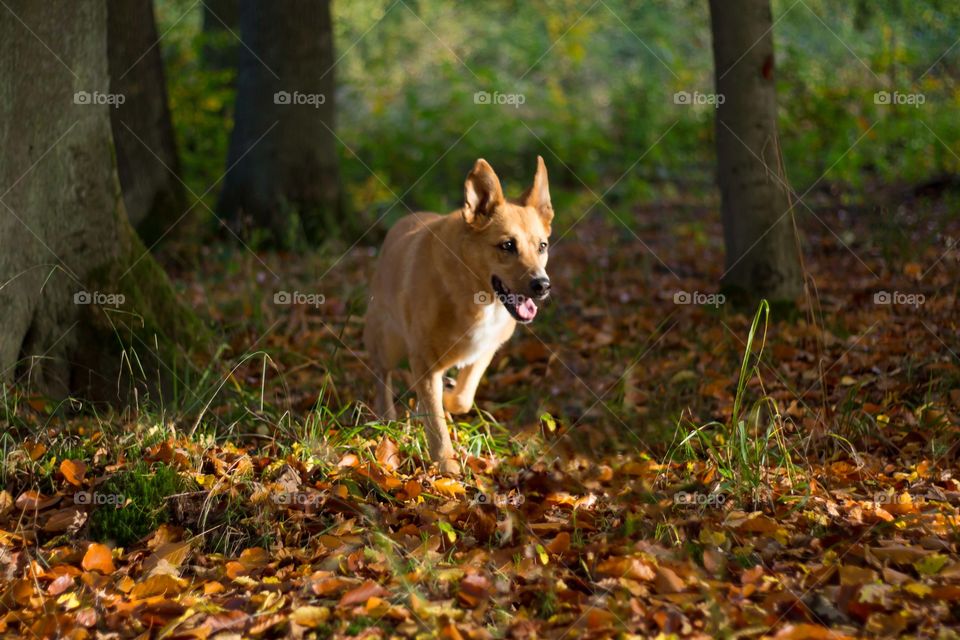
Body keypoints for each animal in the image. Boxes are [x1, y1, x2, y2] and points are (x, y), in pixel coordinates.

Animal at [362, 157, 556, 472]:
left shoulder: (486, 349)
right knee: (382, 374)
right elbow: (436, 420)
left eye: (542, 246)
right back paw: (387, 414)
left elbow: (463, 397)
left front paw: (450, 398)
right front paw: (446, 464)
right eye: (508, 245)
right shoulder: (423, 359)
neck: (477, 296)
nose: (543, 285)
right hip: (386, 341)